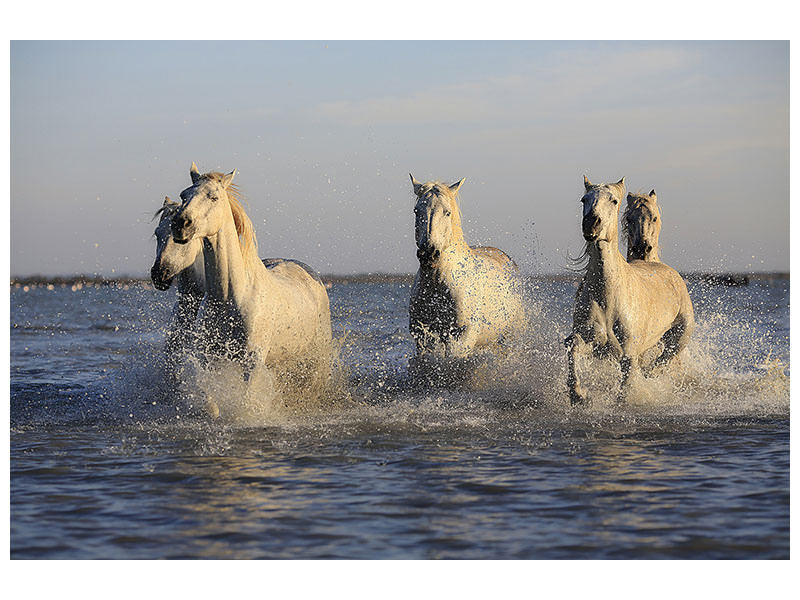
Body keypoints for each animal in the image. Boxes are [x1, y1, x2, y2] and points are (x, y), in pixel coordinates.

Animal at [169, 162, 332, 392]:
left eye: (213, 197)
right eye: (183, 195)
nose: (180, 224)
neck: (230, 296)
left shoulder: (252, 362)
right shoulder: (209, 357)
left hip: (319, 356)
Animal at [406, 173, 524, 360]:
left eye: (447, 212)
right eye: (416, 211)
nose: (428, 254)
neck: (438, 284)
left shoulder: (461, 337)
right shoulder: (423, 336)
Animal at [564, 176, 692, 406]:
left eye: (614, 200)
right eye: (583, 199)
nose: (591, 224)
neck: (608, 295)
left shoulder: (628, 353)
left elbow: (626, 386)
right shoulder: (592, 341)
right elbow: (573, 345)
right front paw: (578, 394)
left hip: (679, 337)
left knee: (663, 360)